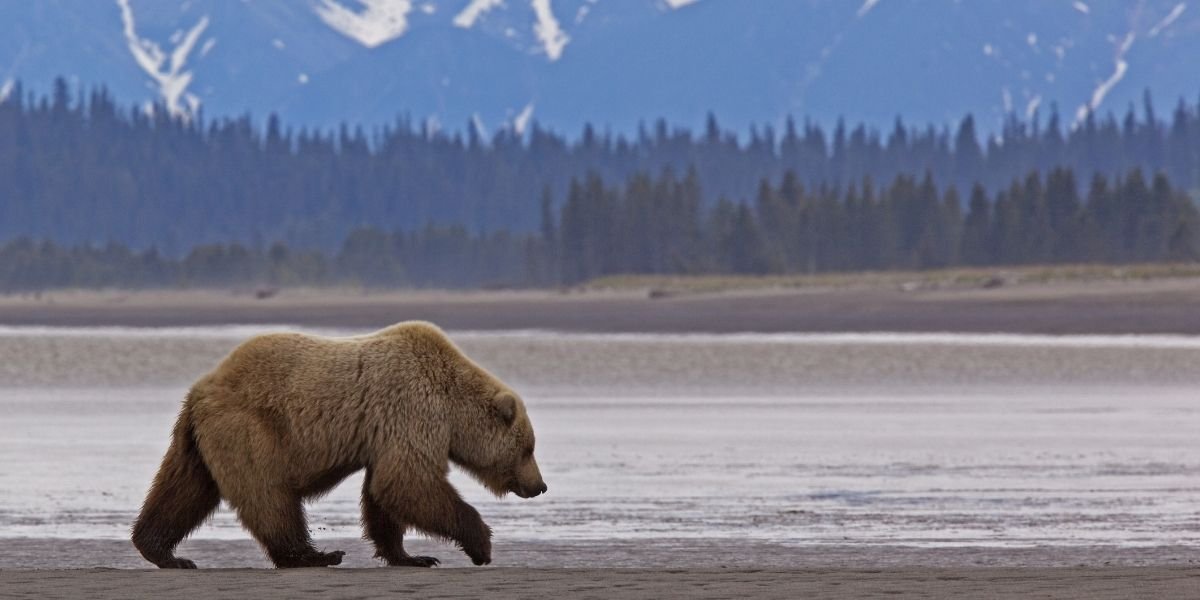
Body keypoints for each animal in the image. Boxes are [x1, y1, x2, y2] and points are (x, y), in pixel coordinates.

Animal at [131, 321, 547, 569]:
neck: (452, 403)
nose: (540, 485)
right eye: (529, 448)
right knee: (268, 495)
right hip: (250, 428)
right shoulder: (412, 409)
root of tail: (203, 387)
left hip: (199, 439)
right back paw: (315, 554)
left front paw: (410, 555)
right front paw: (481, 545)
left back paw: (161, 551)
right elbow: (409, 483)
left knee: (183, 489)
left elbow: (384, 492)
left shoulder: (387, 433)